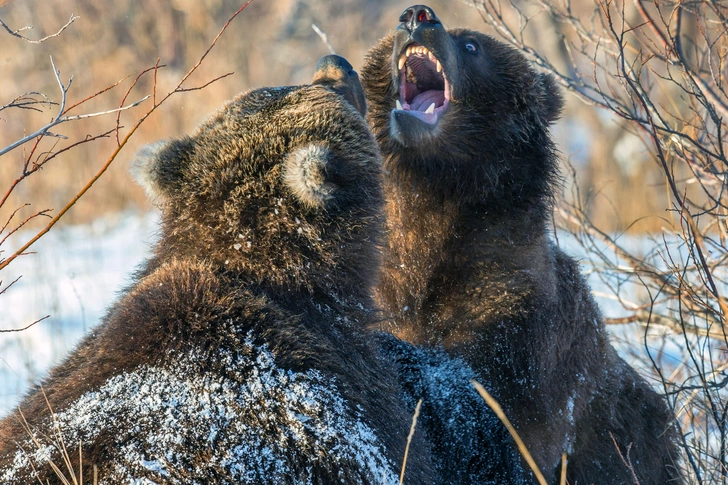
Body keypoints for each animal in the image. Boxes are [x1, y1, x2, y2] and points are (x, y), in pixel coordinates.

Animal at [362, 4, 684, 484]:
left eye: (472, 45)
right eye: (387, 43)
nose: (417, 16)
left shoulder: (517, 317)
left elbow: (485, 418)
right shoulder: (388, 288)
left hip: (635, 447)